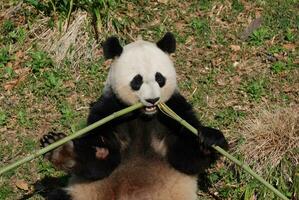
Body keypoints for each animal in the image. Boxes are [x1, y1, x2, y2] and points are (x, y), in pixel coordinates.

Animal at [39, 32, 227, 200]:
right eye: (137, 81)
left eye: (160, 78)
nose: (152, 100)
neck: (144, 116)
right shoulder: (109, 110)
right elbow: (101, 162)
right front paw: (61, 149)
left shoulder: (175, 110)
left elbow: (187, 158)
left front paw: (210, 140)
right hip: (82, 194)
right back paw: (58, 149)